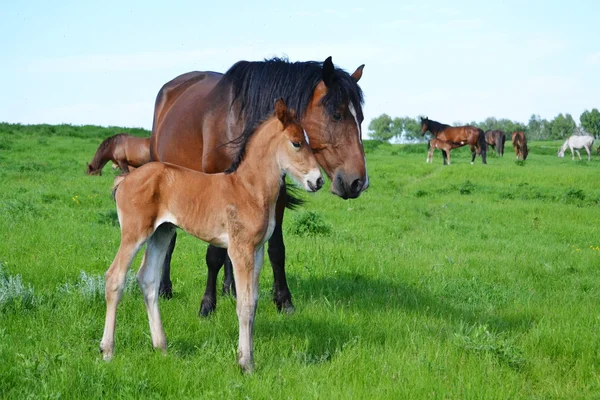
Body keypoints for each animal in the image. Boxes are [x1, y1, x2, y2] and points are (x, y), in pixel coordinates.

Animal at [99, 99, 324, 372]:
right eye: (296, 143)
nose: (318, 181)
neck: (249, 189)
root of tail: (124, 179)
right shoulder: (240, 250)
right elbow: (244, 304)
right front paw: (246, 364)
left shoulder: (257, 250)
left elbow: (254, 301)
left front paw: (246, 356)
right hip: (135, 232)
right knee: (115, 277)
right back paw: (107, 351)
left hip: (162, 232)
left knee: (148, 279)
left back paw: (161, 347)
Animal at [151, 55, 366, 316]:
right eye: (336, 114)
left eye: (361, 119)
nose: (358, 182)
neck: (241, 120)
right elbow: (213, 254)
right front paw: (207, 305)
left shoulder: (275, 194)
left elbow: (276, 250)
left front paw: (284, 301)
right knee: (168, 240)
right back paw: (165, 289)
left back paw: (230, 289)